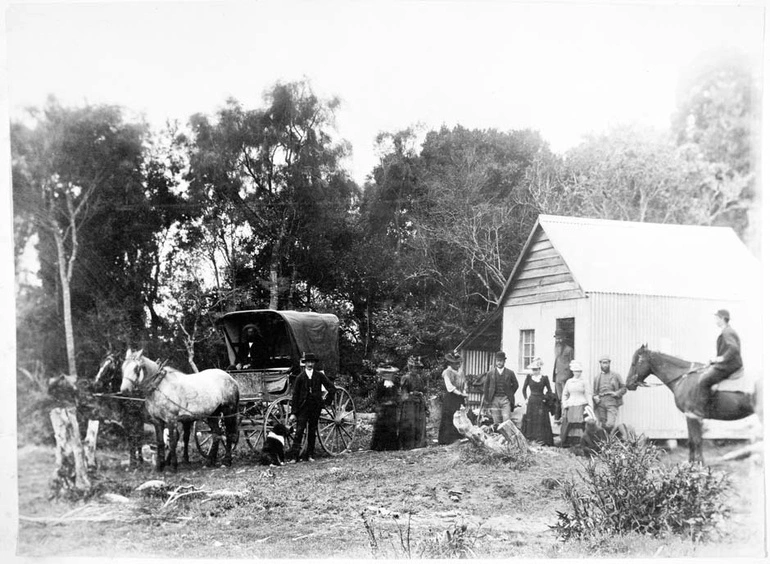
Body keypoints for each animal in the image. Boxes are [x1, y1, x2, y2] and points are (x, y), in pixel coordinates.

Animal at [624, 342, 756, 464]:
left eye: (634, 363)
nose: (628, 384)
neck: (683, 378)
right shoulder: (691, 417)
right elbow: (692, 441)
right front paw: (691, 464)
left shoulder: (692, 416)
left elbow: (696, 441)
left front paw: (698, 465)